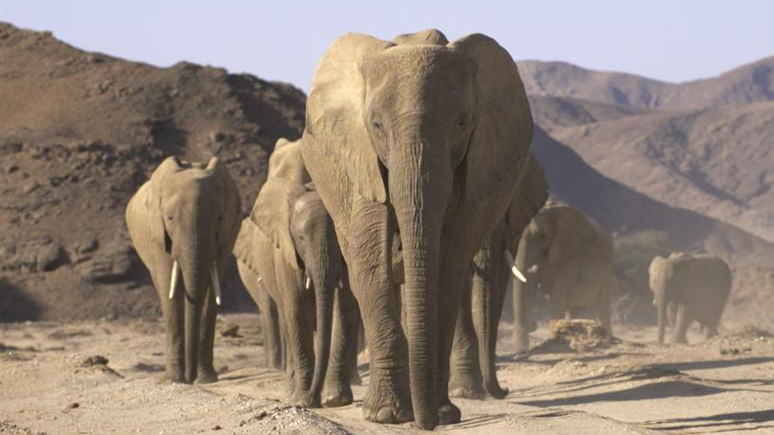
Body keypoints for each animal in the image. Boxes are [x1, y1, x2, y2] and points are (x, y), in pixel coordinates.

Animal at [125, 156, 241, 383]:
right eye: (170, 218)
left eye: (219, 218)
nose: (191, 377)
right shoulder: (158, 236)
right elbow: (168, 290)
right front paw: (174, 380)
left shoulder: (227, 235)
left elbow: (211, 293)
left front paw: (206, 380)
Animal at [233, 138, 360, 408]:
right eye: (300, 238)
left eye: (338, 237)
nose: (313, 399)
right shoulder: (285, 254)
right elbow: (297, 311)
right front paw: (302, 399)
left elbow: (343, 308)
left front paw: (335, 400)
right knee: (286, 316)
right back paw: (290, 391)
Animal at [301, 29, 537, 429]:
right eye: (376, 125)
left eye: (461, 124)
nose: (424, 423)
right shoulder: (362, 161)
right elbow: (371, 268)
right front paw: (385, 416)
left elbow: (447, 268)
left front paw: (443, 414)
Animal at [512, 204, 614, 353]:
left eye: (543, 236)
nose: (533, 324)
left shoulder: (567, 258)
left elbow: (557, 298)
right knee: (573, 309)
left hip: (606, 274)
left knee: (602, 308)